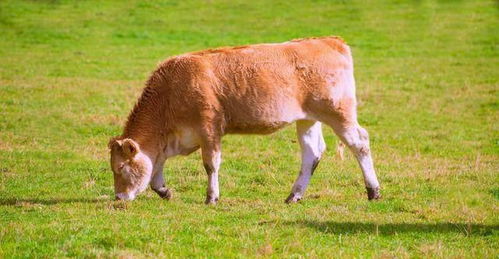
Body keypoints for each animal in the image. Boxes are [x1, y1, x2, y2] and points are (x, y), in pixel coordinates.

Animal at [108, 35, 382, 204]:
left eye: (121, 168)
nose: (119, 198)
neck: (172, 90)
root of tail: (329, 41)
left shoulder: (209, 129)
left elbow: (210, 164)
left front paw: (212, 197)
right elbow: (156, 168)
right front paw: (164, 191)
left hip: (339, 113)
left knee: (360, 143)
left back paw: (373, 191)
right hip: (308, 119)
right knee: (312, 153)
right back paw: (294, 195)